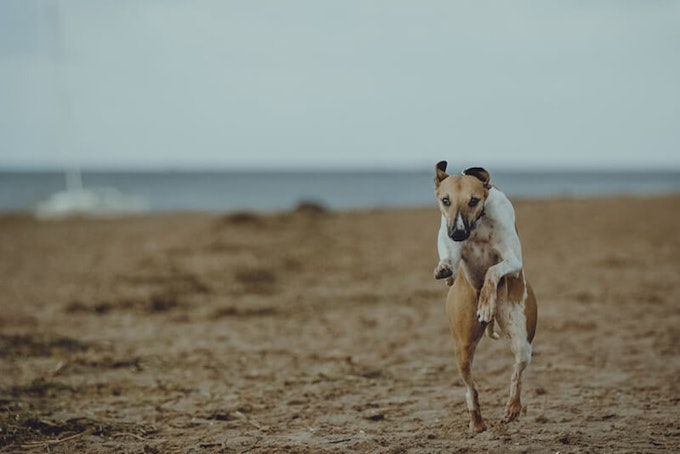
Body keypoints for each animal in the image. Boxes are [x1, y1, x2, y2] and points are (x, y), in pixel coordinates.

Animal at [432, 160, 540, 432]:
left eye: (473, 200)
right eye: (445, 200)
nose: (458, 233)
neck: (477, 225)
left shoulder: (512, 259)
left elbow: (493, 270)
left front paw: (487, 303)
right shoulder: (448, 241)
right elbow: (449, 260)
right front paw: (445, 271)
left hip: (522, 339)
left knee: (517, 372)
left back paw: (513, 407)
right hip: (462, 348)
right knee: (471, 388)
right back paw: (477, 420)